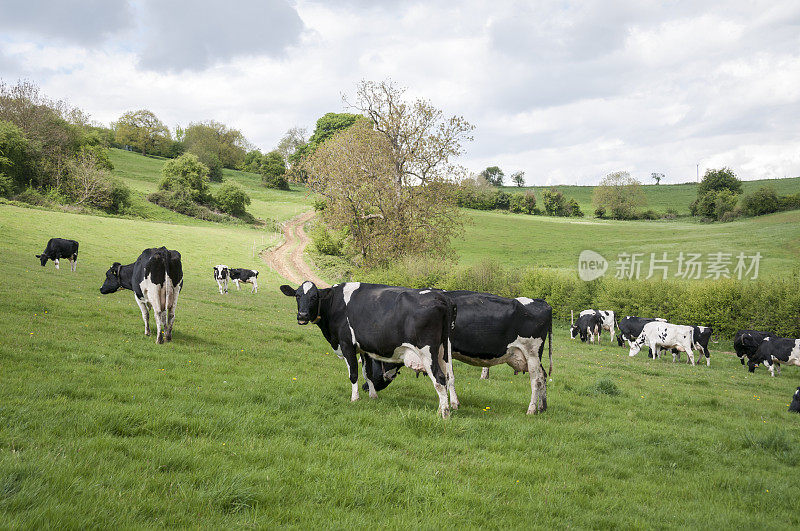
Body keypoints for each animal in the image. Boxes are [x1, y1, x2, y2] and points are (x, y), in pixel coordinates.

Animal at [280, 282, 456, 420]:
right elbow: (368, 373)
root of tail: (441, 297)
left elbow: (353, 374)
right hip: (444, 350)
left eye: (314, 297)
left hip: (427, 352)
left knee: (439, 379)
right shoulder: (364, 349)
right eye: (297, 295)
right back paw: (444, 408)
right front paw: (373, 396)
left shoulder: (347, 344)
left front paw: (354, 398)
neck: (334, 305)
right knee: (448, 376)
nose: (302, 315)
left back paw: (444, 414)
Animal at [366, 290, 552, 416]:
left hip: (532, 353)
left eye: (373, 365)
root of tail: (544, 303)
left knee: (536, 380)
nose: (364, 387)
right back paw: (543, 407)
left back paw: (531, 409)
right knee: (543, 376)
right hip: (531, 357)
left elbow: (449, 377)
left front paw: (454, 403)